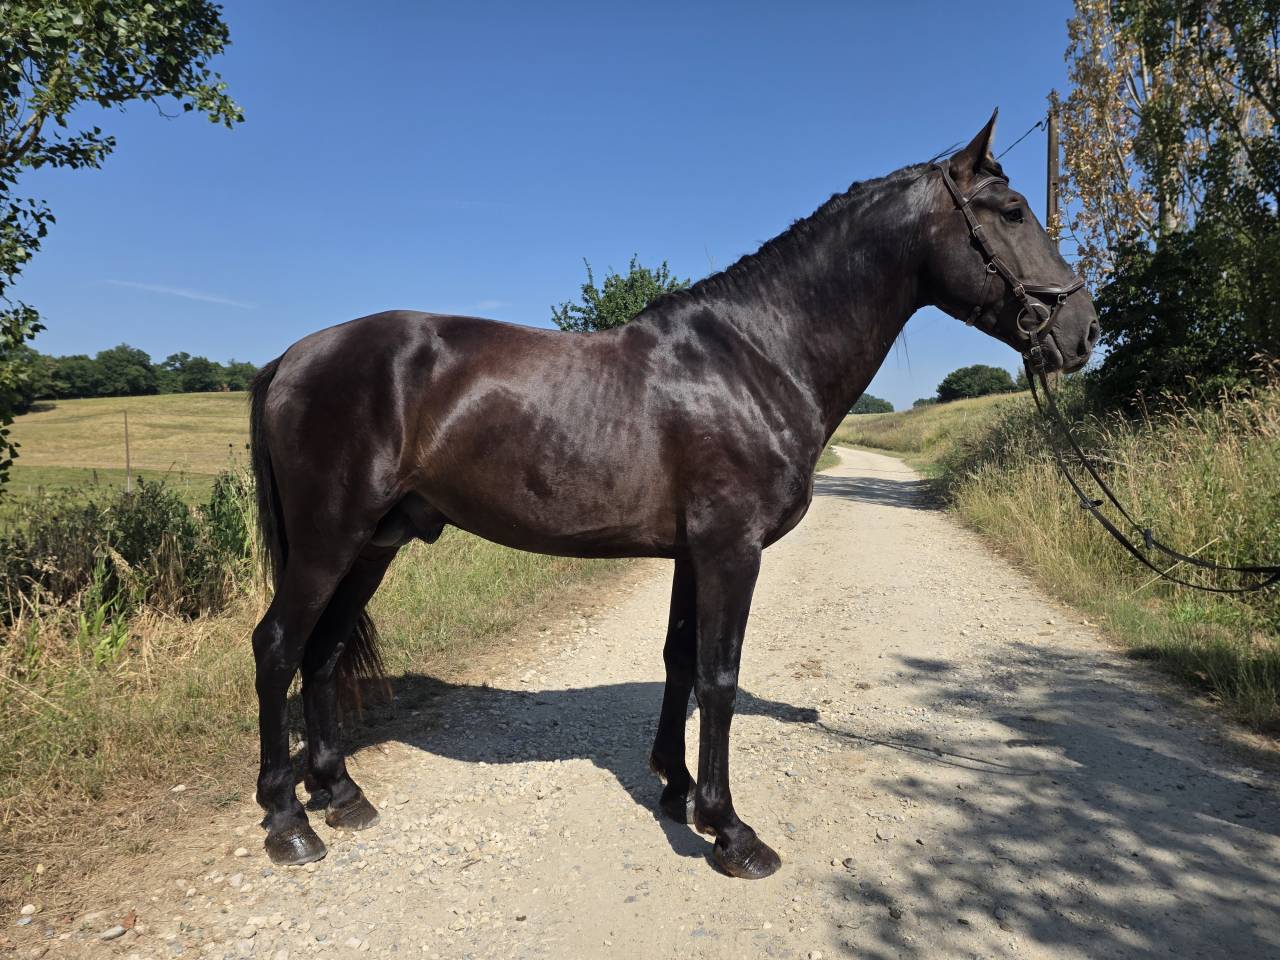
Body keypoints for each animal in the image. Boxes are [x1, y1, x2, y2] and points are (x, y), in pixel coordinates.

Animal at [246, 112, 1098, 879]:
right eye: (1012, 211)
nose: (1084, 332)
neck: (757, 357)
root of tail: (291, 357)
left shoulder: (695, 554)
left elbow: (680, 661)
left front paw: (677, 789)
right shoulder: (731, 551)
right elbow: (719, 678)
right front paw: (731, 831)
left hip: (373, 543)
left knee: (323, 653)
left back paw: (342, 793)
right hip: (330, 539)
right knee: (279, 647)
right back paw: (289, 822)